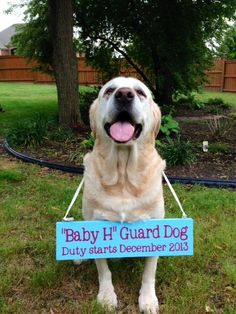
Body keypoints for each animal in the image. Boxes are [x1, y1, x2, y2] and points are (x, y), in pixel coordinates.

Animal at [82, 76, 165, 314]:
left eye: (140, 92)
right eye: (110, 90)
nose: (124, 95)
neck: (123, 178)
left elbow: (149, 272)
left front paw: (148, 299)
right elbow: (103, 270)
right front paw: (106, 295)